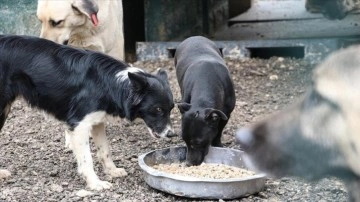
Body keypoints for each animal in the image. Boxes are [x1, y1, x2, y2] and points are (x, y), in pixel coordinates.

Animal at [0, 35, 174, 191]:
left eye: (172, 108)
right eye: (158, 109)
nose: (171, 134)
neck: (110, 83)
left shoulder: (97, 121)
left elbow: (105, 150)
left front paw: (112, 171)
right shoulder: (79, 125)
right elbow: (86, 158)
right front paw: (95, 183)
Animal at [174, 36, 236, 166]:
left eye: (198, 142)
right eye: (184, 140)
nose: (188, 163)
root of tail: (194, 37)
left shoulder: (226, 114)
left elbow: (219, 131)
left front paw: (218, 144)